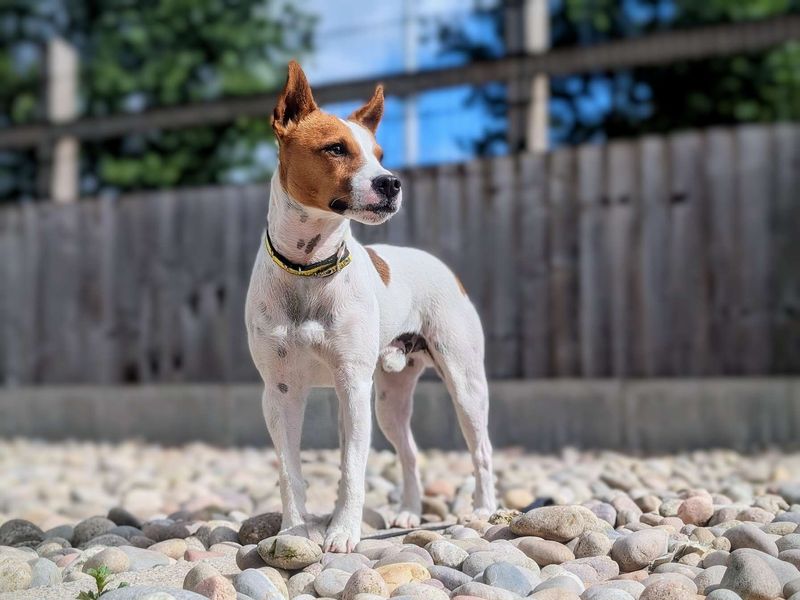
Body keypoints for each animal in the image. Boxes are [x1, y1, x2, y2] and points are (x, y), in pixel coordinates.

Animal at [245, 62, 494, 552]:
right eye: (336, 148)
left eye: (379, 154)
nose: (391, 182)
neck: (309, 268)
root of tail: (443, 268)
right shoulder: (279, 392)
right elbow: (289, 471)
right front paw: (293, 532)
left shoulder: (352, 385)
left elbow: (351, 468)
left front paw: (342, 532)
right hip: (389, 400)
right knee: (410, 453)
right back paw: (410, 512)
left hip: (464, 384)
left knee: (482, 450)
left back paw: (485, 511)